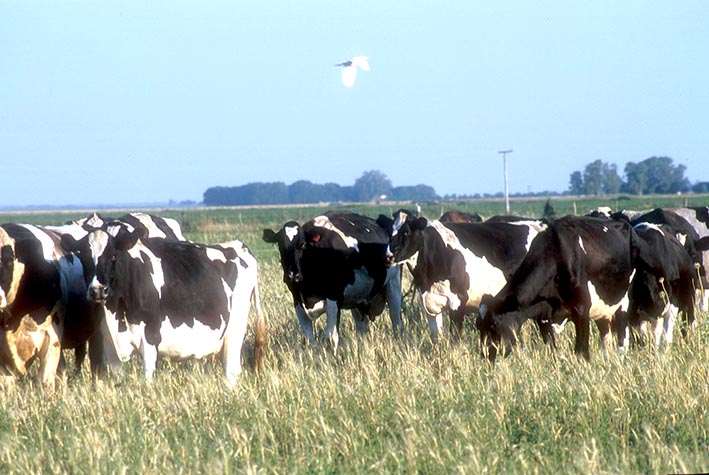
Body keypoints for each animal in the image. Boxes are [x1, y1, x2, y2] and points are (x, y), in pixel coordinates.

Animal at [60, 227, 266, 386]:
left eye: (113, 256)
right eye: (84, 258)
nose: (97, 290)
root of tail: (239, 246)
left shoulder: (150, 338)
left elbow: (147, 380)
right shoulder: (110, 346)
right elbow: (120, 382)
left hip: (235, 330)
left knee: (231, 371)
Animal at [262, 210, 404, 352]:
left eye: (302, 245)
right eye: (280, 246)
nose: (292, 275)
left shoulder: (333, 298)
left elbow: (331, 338)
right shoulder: (297, 300)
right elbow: (308, 339)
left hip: (394, 285)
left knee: (397, 323)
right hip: (358, 300)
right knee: (362, 330)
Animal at [376, 211, 548, 342]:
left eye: (406, 232)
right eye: (389, 232)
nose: (388, 256)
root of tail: (541, 223)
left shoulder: (457, 302)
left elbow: (455, 340)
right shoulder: (430, 304)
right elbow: (436, 338)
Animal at [476, 216, 636, 360]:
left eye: (494, 324)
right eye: (478, 325)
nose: (485, 355)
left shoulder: (582, 310)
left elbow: (581, 352)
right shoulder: (542, 316)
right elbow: (552, 349)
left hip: (623, 301)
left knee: (622, 340)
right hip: (603, 310)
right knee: (605, 338)